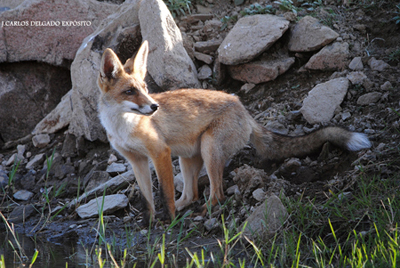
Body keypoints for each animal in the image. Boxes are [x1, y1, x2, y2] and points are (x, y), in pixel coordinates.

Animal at [97, 39, 372, 224]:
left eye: (144, 88)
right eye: (130, 92)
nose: (154, 107)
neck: (123, 127)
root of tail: (243, 108)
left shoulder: (160, 153)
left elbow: (165, 196)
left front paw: (169, 221)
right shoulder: (137, 161)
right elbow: (148, 199)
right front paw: (150, 223)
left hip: (209, 149)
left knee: (216, 194)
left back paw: (202, 212)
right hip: (188, 158)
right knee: (192, 194)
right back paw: (189, 208)